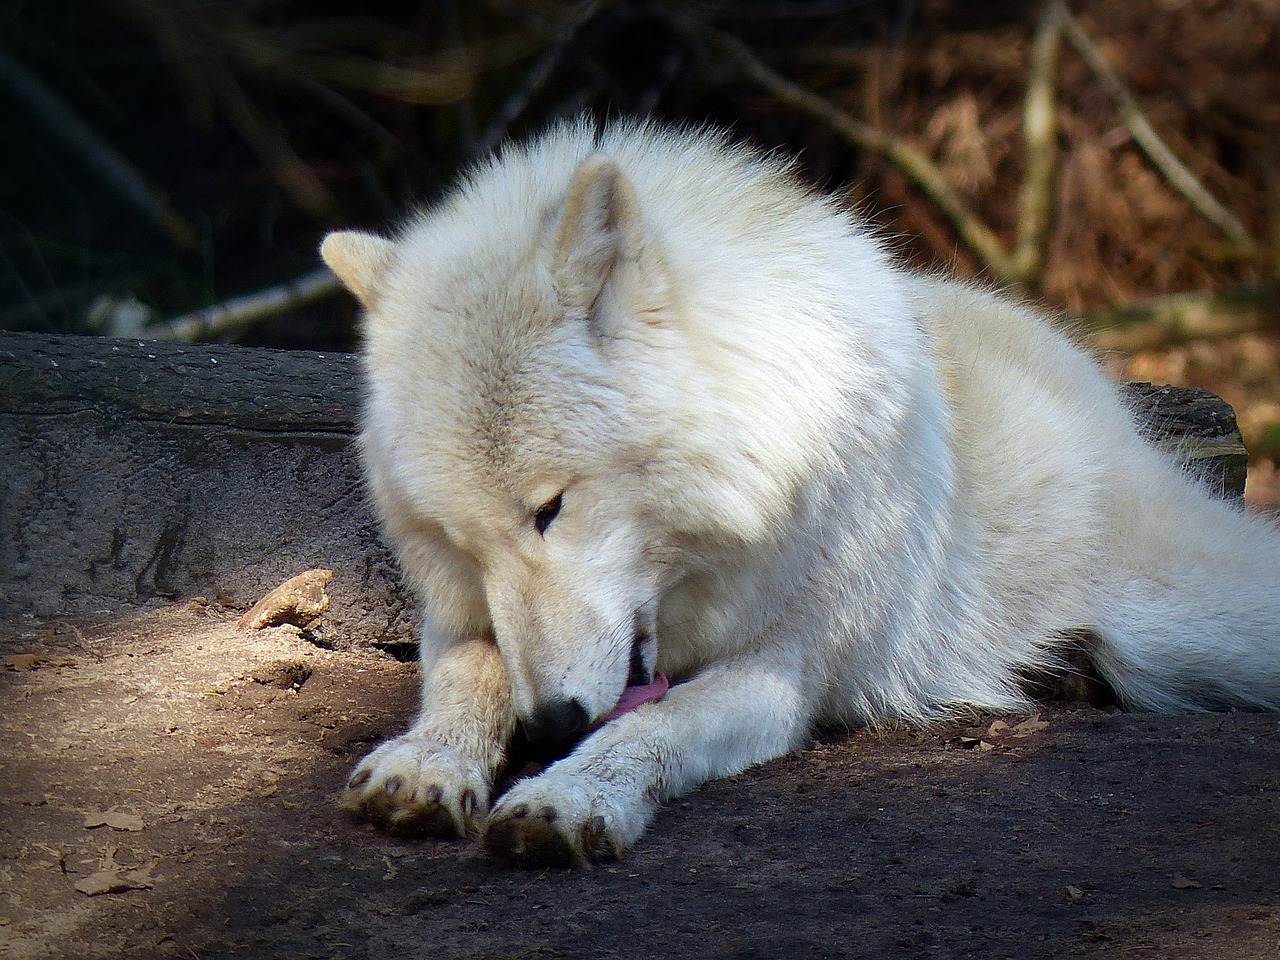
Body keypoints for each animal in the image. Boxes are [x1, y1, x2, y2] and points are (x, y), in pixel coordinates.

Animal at [317, 116, 1280, 870]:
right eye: (460, 543)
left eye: (551, 508)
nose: (551, 723)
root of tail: (1088, 377)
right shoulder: (465, 619)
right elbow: (468, 675)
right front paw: (427, 761)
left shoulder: (782, 672)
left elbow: (648, 729)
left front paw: (572, 797)